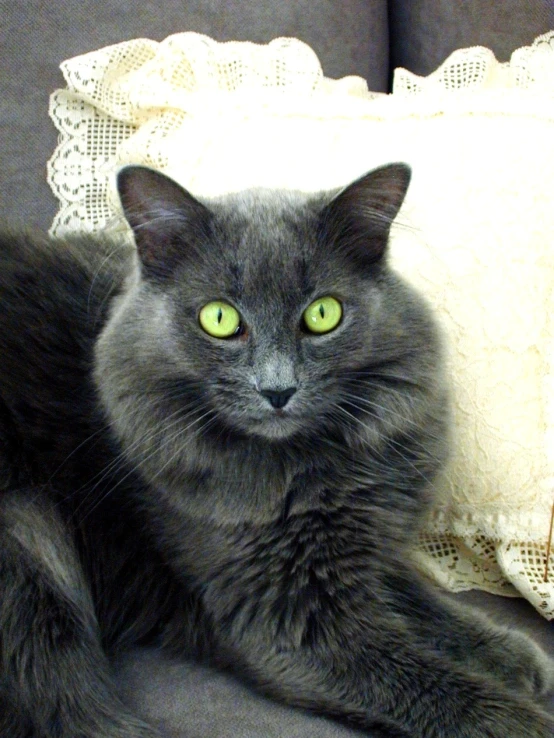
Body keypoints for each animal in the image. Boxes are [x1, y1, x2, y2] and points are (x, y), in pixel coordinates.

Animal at [0, 162, 548, 736]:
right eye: (219, 319)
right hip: (28, 530)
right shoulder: (290, 620)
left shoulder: (365, 545)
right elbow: (437, 688)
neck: (314, 470)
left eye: (323, 314)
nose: (277, 389)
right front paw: (526, 719)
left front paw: (509, 654)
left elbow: (417, 599)